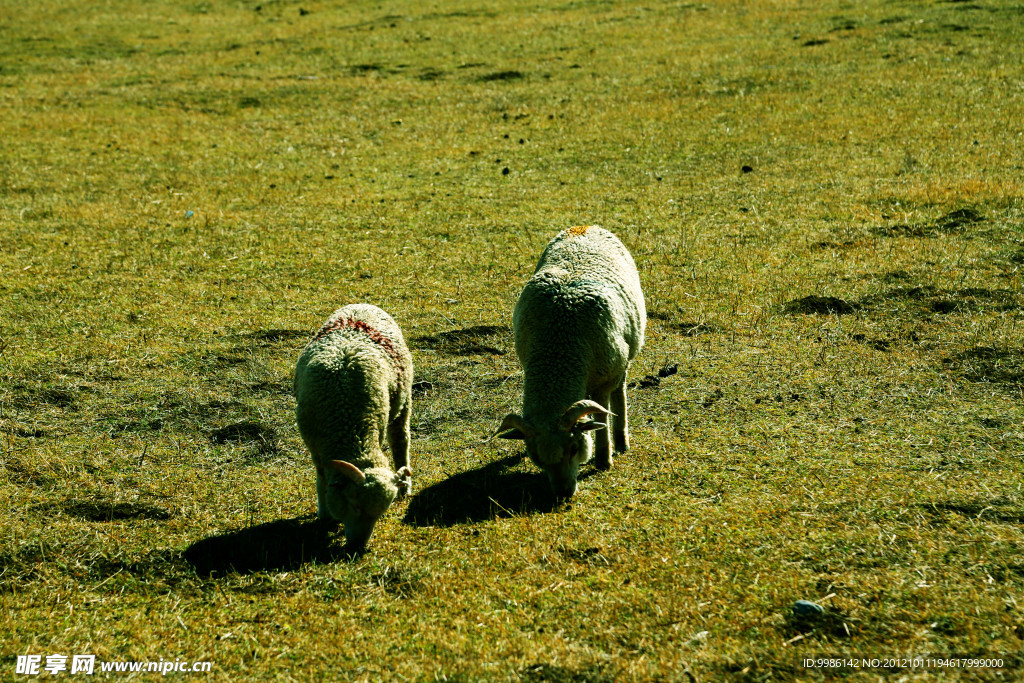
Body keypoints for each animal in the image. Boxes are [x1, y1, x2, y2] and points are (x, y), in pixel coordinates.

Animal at [292, 305, 411, 548]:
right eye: (354, 505)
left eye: (379, 514)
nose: (358, 547)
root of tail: (363, 304)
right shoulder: (314, 447)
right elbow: (321, 479)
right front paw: (324, 515)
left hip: (403, 402)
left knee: (400, 442)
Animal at [497, 227, 647, 499]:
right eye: (536, 457)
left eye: (575, 448)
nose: (564, 493)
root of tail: (588, 226)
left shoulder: (602, 382)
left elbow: (601, 420)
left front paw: (604, 460)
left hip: (623, 358)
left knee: (619, 393)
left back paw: (621, 440)